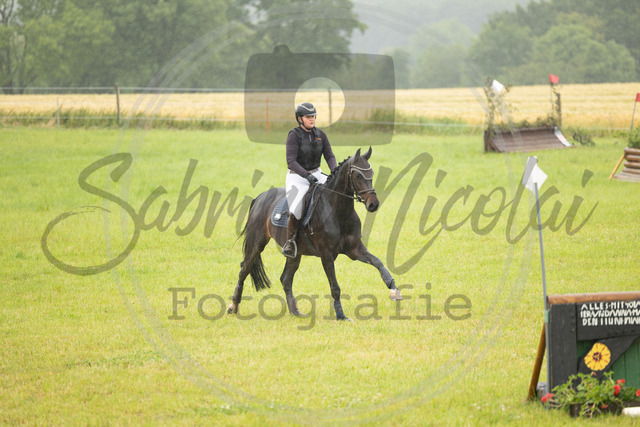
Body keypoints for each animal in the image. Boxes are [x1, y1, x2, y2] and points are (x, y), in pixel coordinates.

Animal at [227, 147, 402, 321]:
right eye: (357, 175)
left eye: (371, 173)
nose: (373, 204)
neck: (338, 211)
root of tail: (260, 197)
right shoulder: (327, 254)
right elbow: (335, 286)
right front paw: (341, 315)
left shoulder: (355, 249)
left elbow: (378, 262)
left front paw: (394, 290)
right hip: (257, 243)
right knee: (244, 270)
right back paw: (233, 306)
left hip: (295, 254)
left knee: (285, 279)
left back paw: (296, 312)